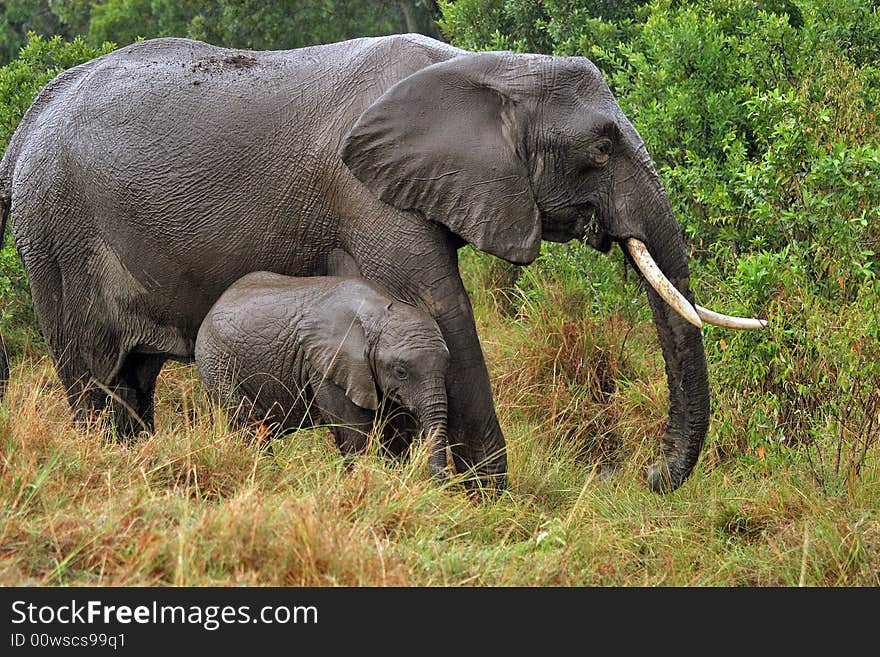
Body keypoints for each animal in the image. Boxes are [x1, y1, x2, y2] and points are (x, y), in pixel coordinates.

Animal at [195, 270, 450, 476]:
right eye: (400, 371)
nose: (441, 486)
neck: (380, 309)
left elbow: (394, 433)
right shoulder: (328, 366)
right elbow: (353, 433)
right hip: (217, 361)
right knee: (248, 422)